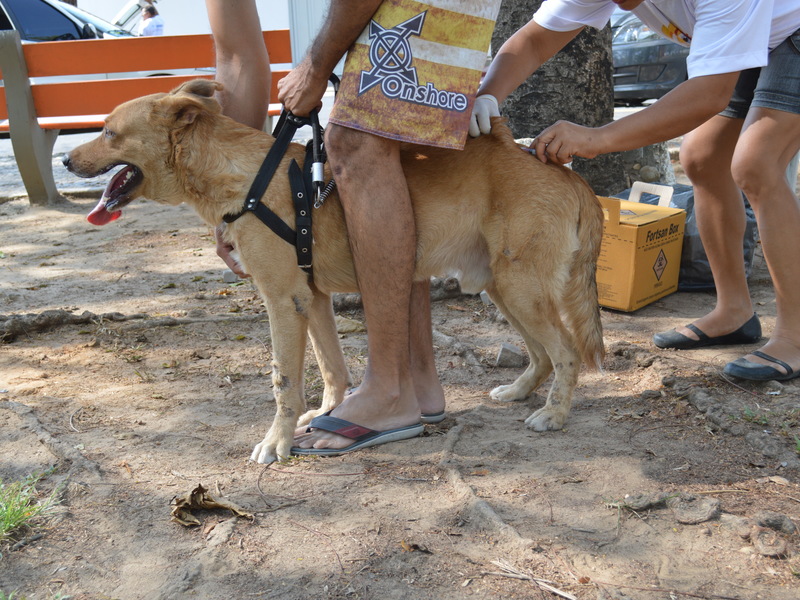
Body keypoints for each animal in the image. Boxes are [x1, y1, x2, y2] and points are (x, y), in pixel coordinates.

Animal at [65, 79, 604, 464]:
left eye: (109, 131)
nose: (67, 159)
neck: (246, 177)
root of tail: (562, 170)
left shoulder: (281, 300)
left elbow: (284, 381)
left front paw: (277, 443)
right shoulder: (312, 297)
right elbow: (330, 367)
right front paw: (327, 415)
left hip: (520, 288)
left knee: (567, 351)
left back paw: (554, 414)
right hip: (504, 288)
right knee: (543, 354)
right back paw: (520, 392)